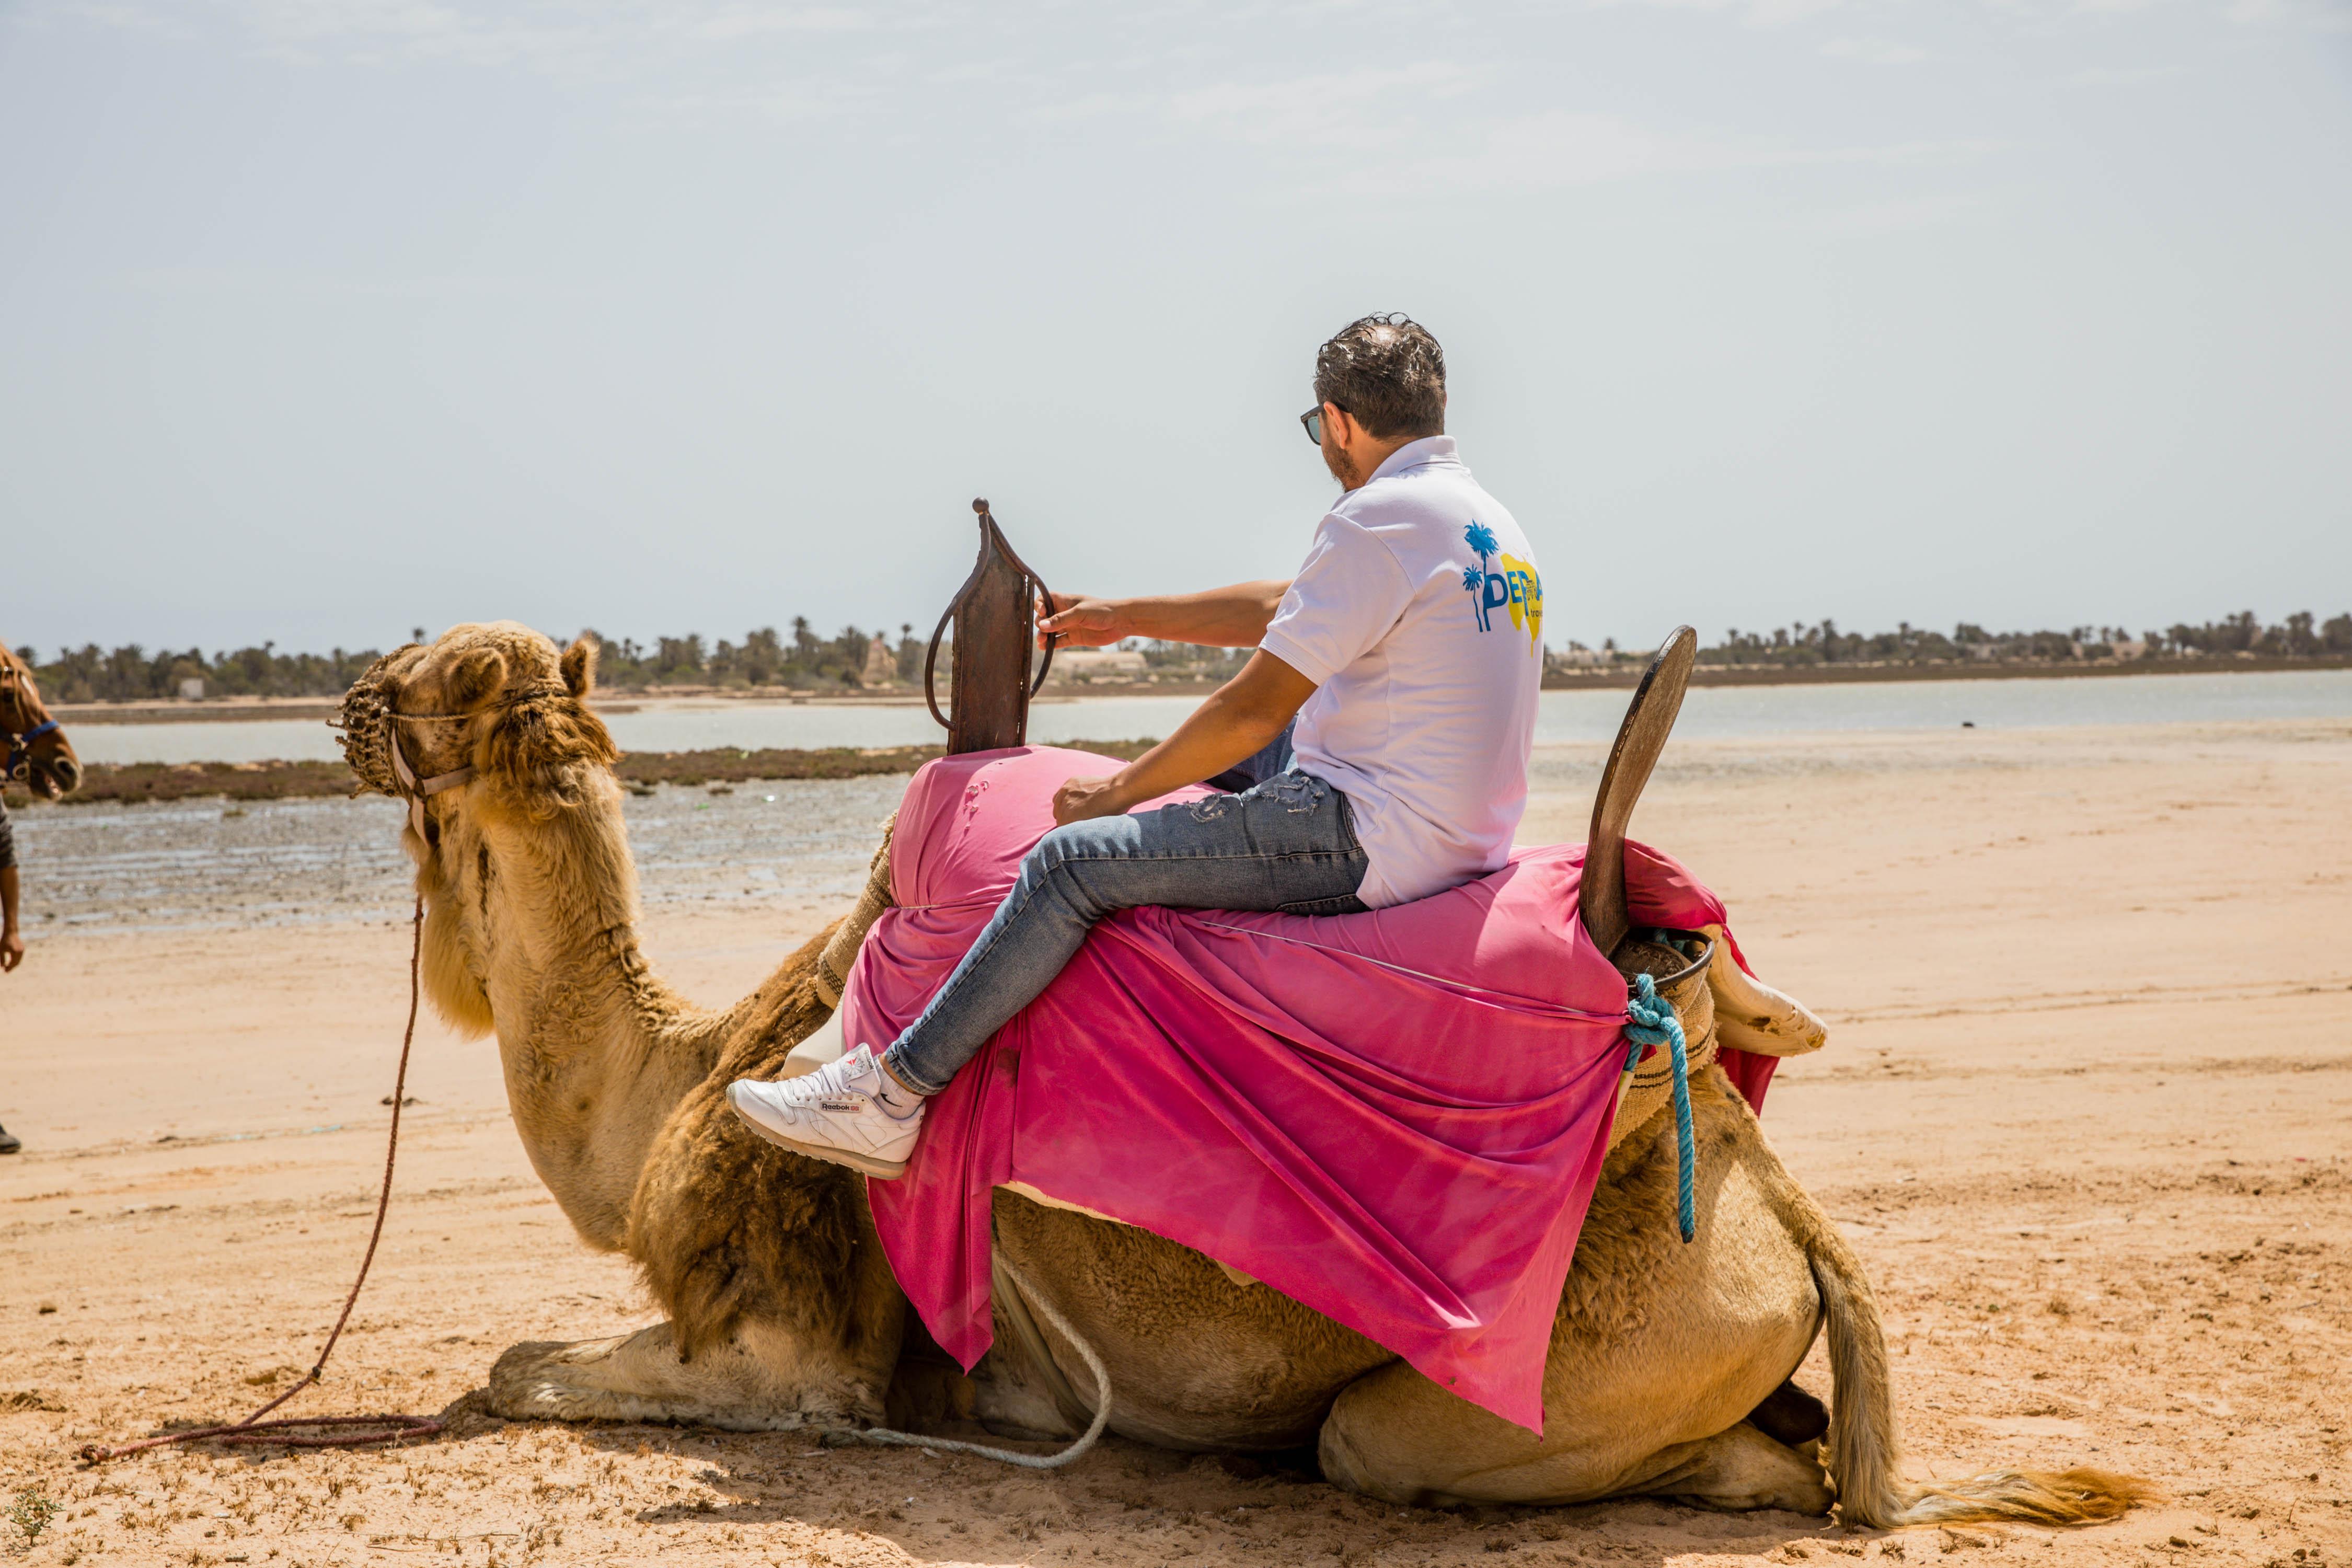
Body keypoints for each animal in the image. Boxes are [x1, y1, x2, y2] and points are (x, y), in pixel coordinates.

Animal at [336, 621, 2149, 1526]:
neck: (693, 1066)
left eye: (442, 676)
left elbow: (512, 1367)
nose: (349, 699)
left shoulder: (801, 1351)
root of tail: (1775, 1200)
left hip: (1524, 1376)